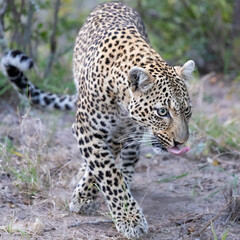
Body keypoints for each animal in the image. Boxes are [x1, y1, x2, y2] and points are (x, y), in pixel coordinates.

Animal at [0, 1, 194, 238]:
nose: (181, 142)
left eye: (187, 110)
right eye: (162, 112)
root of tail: (113, 2)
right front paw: (129, 218)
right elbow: (107, 172)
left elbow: (106, 170)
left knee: (127, 160)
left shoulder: (118, 135)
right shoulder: (87, 128)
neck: (121, 101)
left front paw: (87, 197)